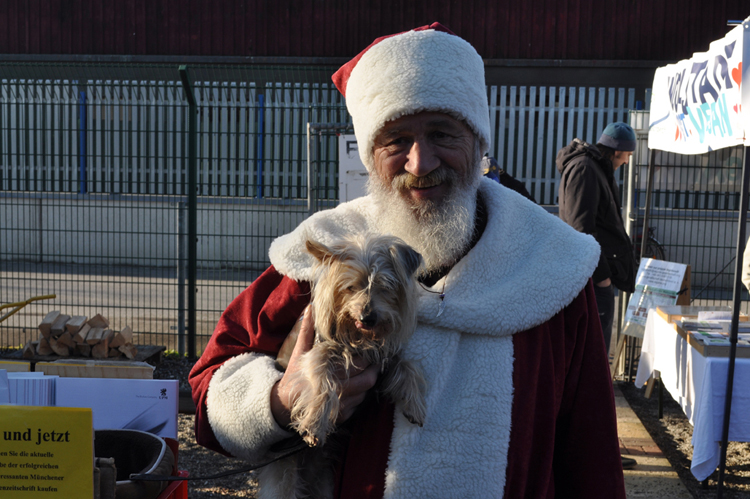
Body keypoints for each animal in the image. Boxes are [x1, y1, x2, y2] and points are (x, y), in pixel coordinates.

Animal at [262, 234, 428, 499]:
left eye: (384, 286)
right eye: (350, 287)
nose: (367, 317)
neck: (360, 341)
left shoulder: (382, 360)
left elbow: (408, 366)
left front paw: (415, 404)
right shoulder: (317, 353)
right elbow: (323, 384)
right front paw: (314, 424)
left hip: (322, 480)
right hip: (285, 471)